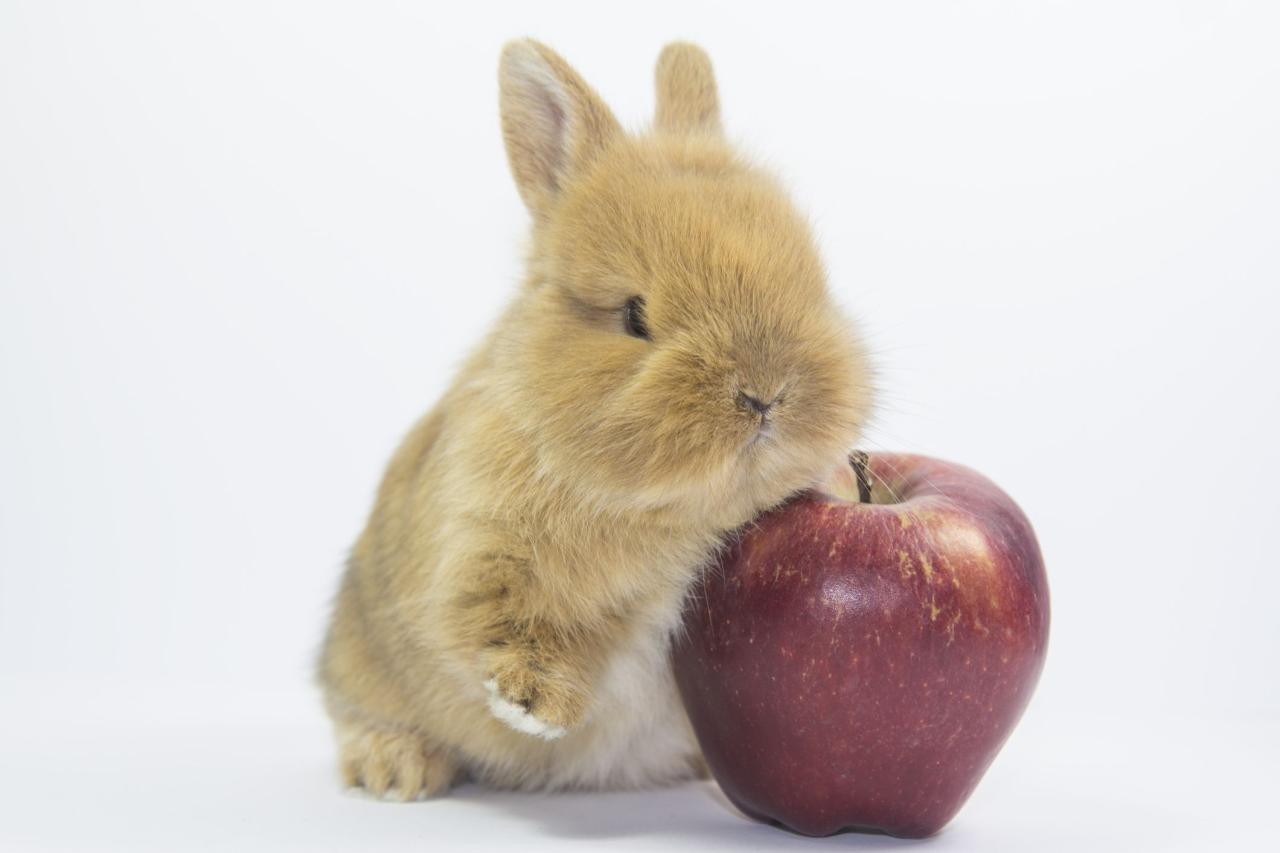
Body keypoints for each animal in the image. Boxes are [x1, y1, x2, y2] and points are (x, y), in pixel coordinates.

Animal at [317, 38, 874, 800]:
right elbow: (489, 621)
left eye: (811, 282)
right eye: (634, 316)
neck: (675, 516)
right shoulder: (480, 546)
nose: (767, 393)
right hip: (360, 656)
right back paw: (397, 768)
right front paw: (535, 706)